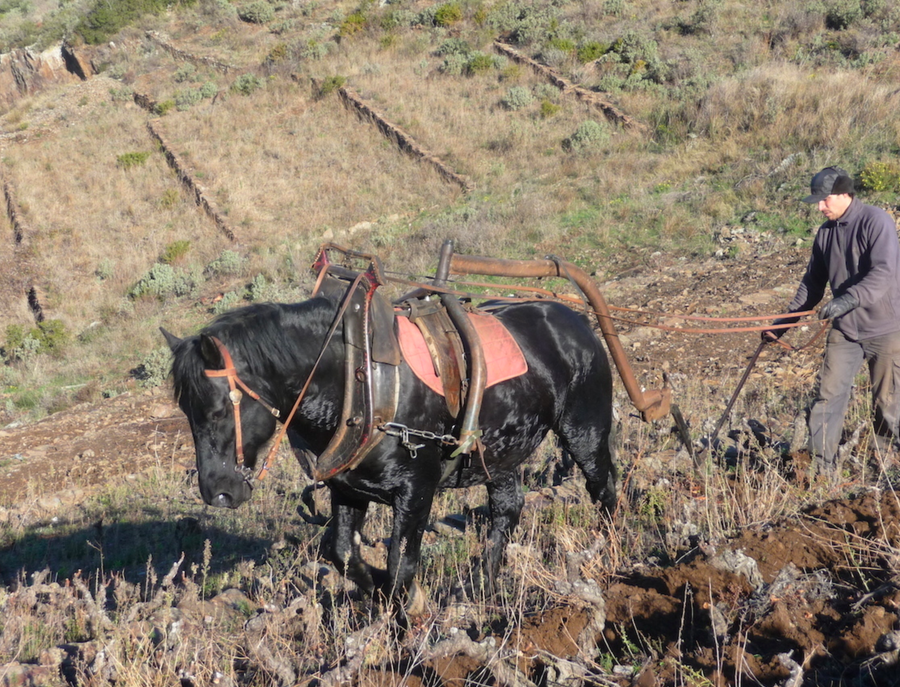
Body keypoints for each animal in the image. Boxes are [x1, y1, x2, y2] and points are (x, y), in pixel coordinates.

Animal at [163, 294, 620, 600]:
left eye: (219, 410)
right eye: (186, 412)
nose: (217, 492)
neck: (358, 382)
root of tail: (575, 319)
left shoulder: (416, 490)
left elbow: (403, 564)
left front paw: (403, 617)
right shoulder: (347, 489)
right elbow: (342, 553)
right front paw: (376, 589)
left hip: (584, 429)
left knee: (602, 487)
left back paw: (609, 547)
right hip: (499, 454)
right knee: (507, 510)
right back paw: (482, 586)